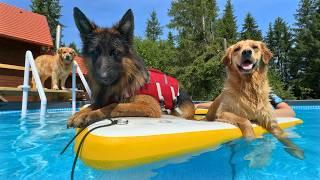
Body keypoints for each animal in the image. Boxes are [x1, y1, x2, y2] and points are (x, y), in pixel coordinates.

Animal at [67, 7, 195, 128]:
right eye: (95, 53)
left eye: (115, 52)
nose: (102, 78)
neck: (125, 80)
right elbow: (93, 105)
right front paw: (78, 114)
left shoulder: (150, 106)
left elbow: (113, 106)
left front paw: (88, 115)